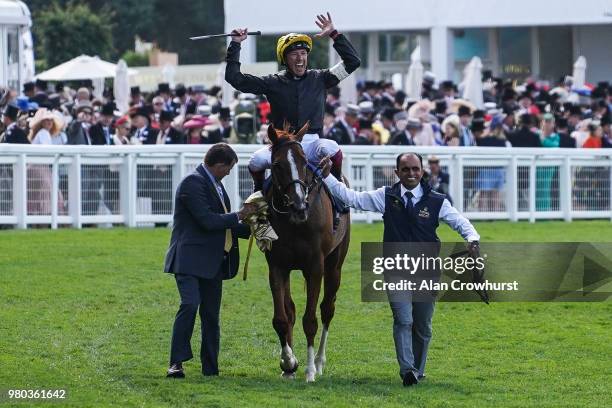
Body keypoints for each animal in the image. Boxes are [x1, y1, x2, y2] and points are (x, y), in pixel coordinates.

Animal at [262, 122, 350, 380]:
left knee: (327, 309)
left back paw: (319, 362)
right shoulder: (277, 266)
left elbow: (310, 319)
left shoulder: (315, 266)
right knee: (291, 310)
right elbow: (282, 318)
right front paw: (288, 362)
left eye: (304, 163)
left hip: (335, 264)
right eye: (277, 165)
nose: (300, 206)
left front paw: (310, 370)